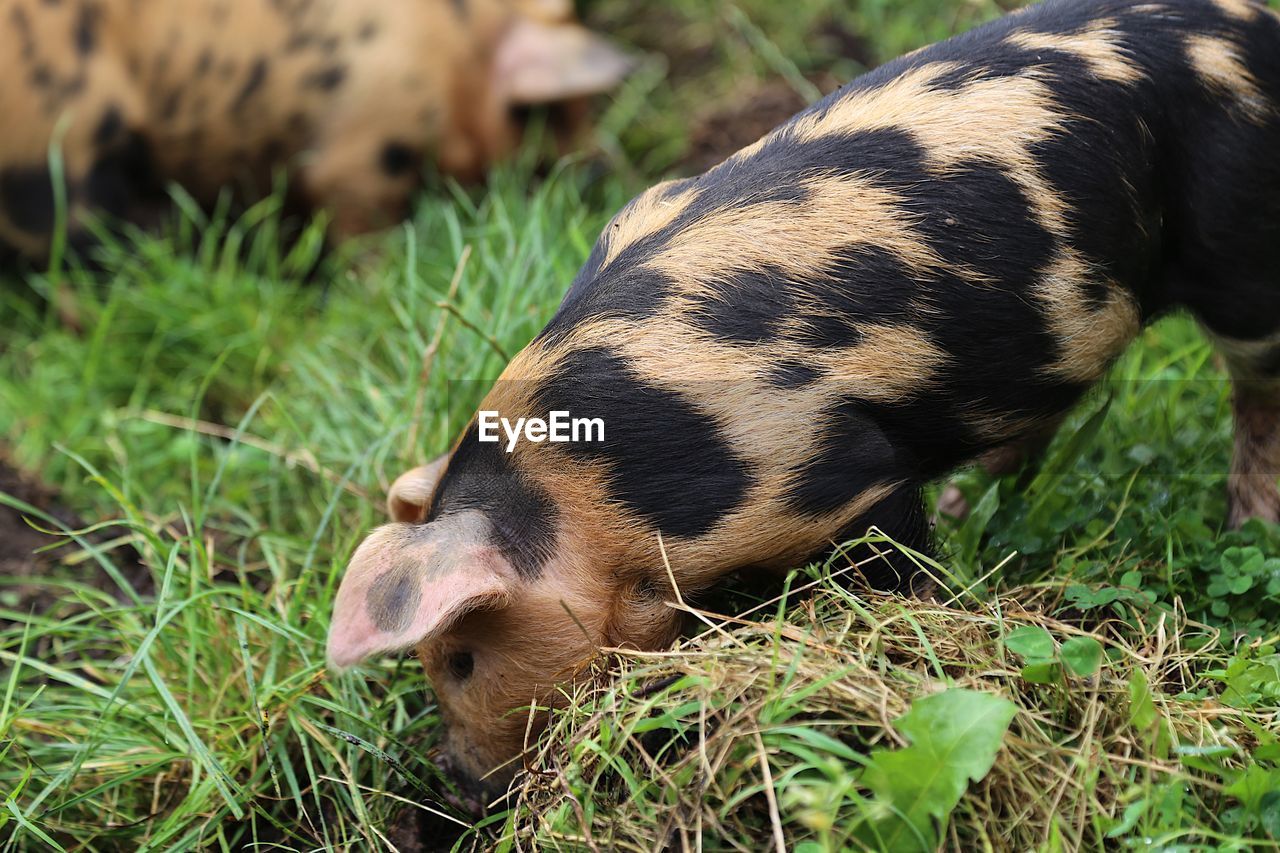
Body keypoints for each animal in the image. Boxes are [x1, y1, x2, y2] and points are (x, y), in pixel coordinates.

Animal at [327, 0, 1280, 799]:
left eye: (459, 657)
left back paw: (1246, 529)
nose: (458, 784)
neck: (596, 483)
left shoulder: (831, 468)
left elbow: (898, 559)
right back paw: (975, 503)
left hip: (1239, 245)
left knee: (1256, 387)